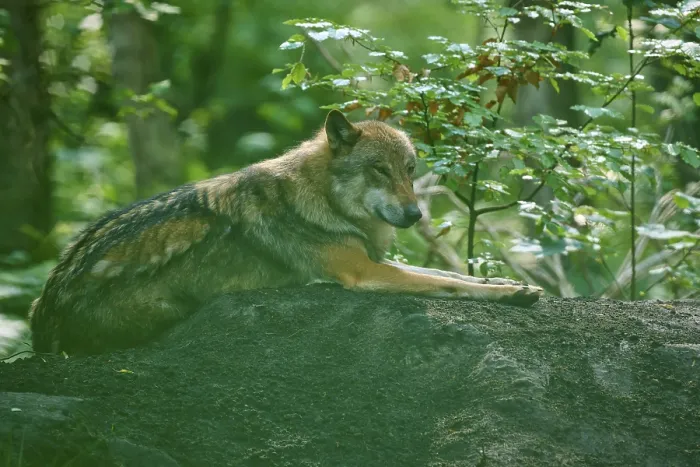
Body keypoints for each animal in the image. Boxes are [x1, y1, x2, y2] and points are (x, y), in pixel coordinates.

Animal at [29, 110, 542, 354]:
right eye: (379, 170)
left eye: (410, 171)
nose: (416, 215)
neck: (322, 198)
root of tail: (47, 309)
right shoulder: (363, 274)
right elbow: (449, 284)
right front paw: (512, 294)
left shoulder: (375, 260)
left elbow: (459, 277)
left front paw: (508, 281)